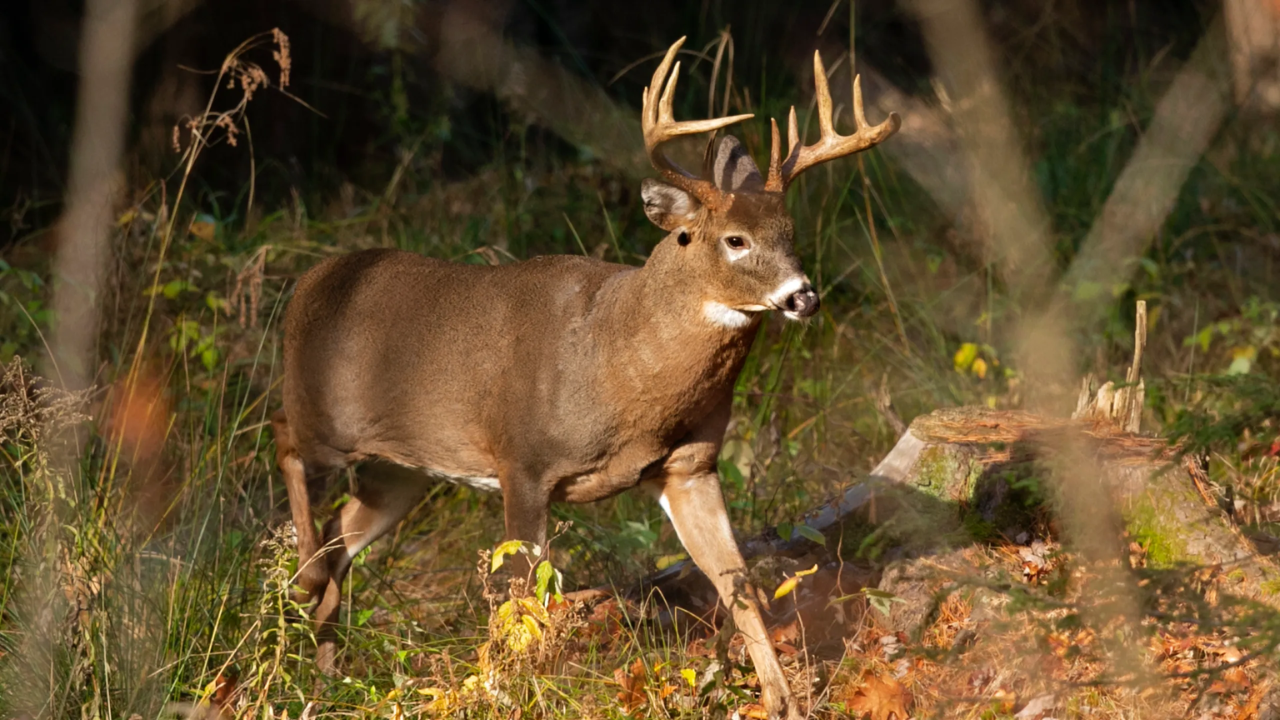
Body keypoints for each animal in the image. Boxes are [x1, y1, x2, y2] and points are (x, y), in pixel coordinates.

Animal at [272, 39, 901, 717]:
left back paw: (325, 673)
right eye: (734, 239)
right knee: (285, 442)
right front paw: (510, 693)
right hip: (324, 416)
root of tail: (307, 284)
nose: (804, 296)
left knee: (341, 534)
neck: (618, 369)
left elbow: (738, 585)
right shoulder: (521, 460)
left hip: (405, 468)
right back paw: (304, 588)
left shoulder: (689, 465)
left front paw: (783, 700)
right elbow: (522, 601)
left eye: (790, 235)